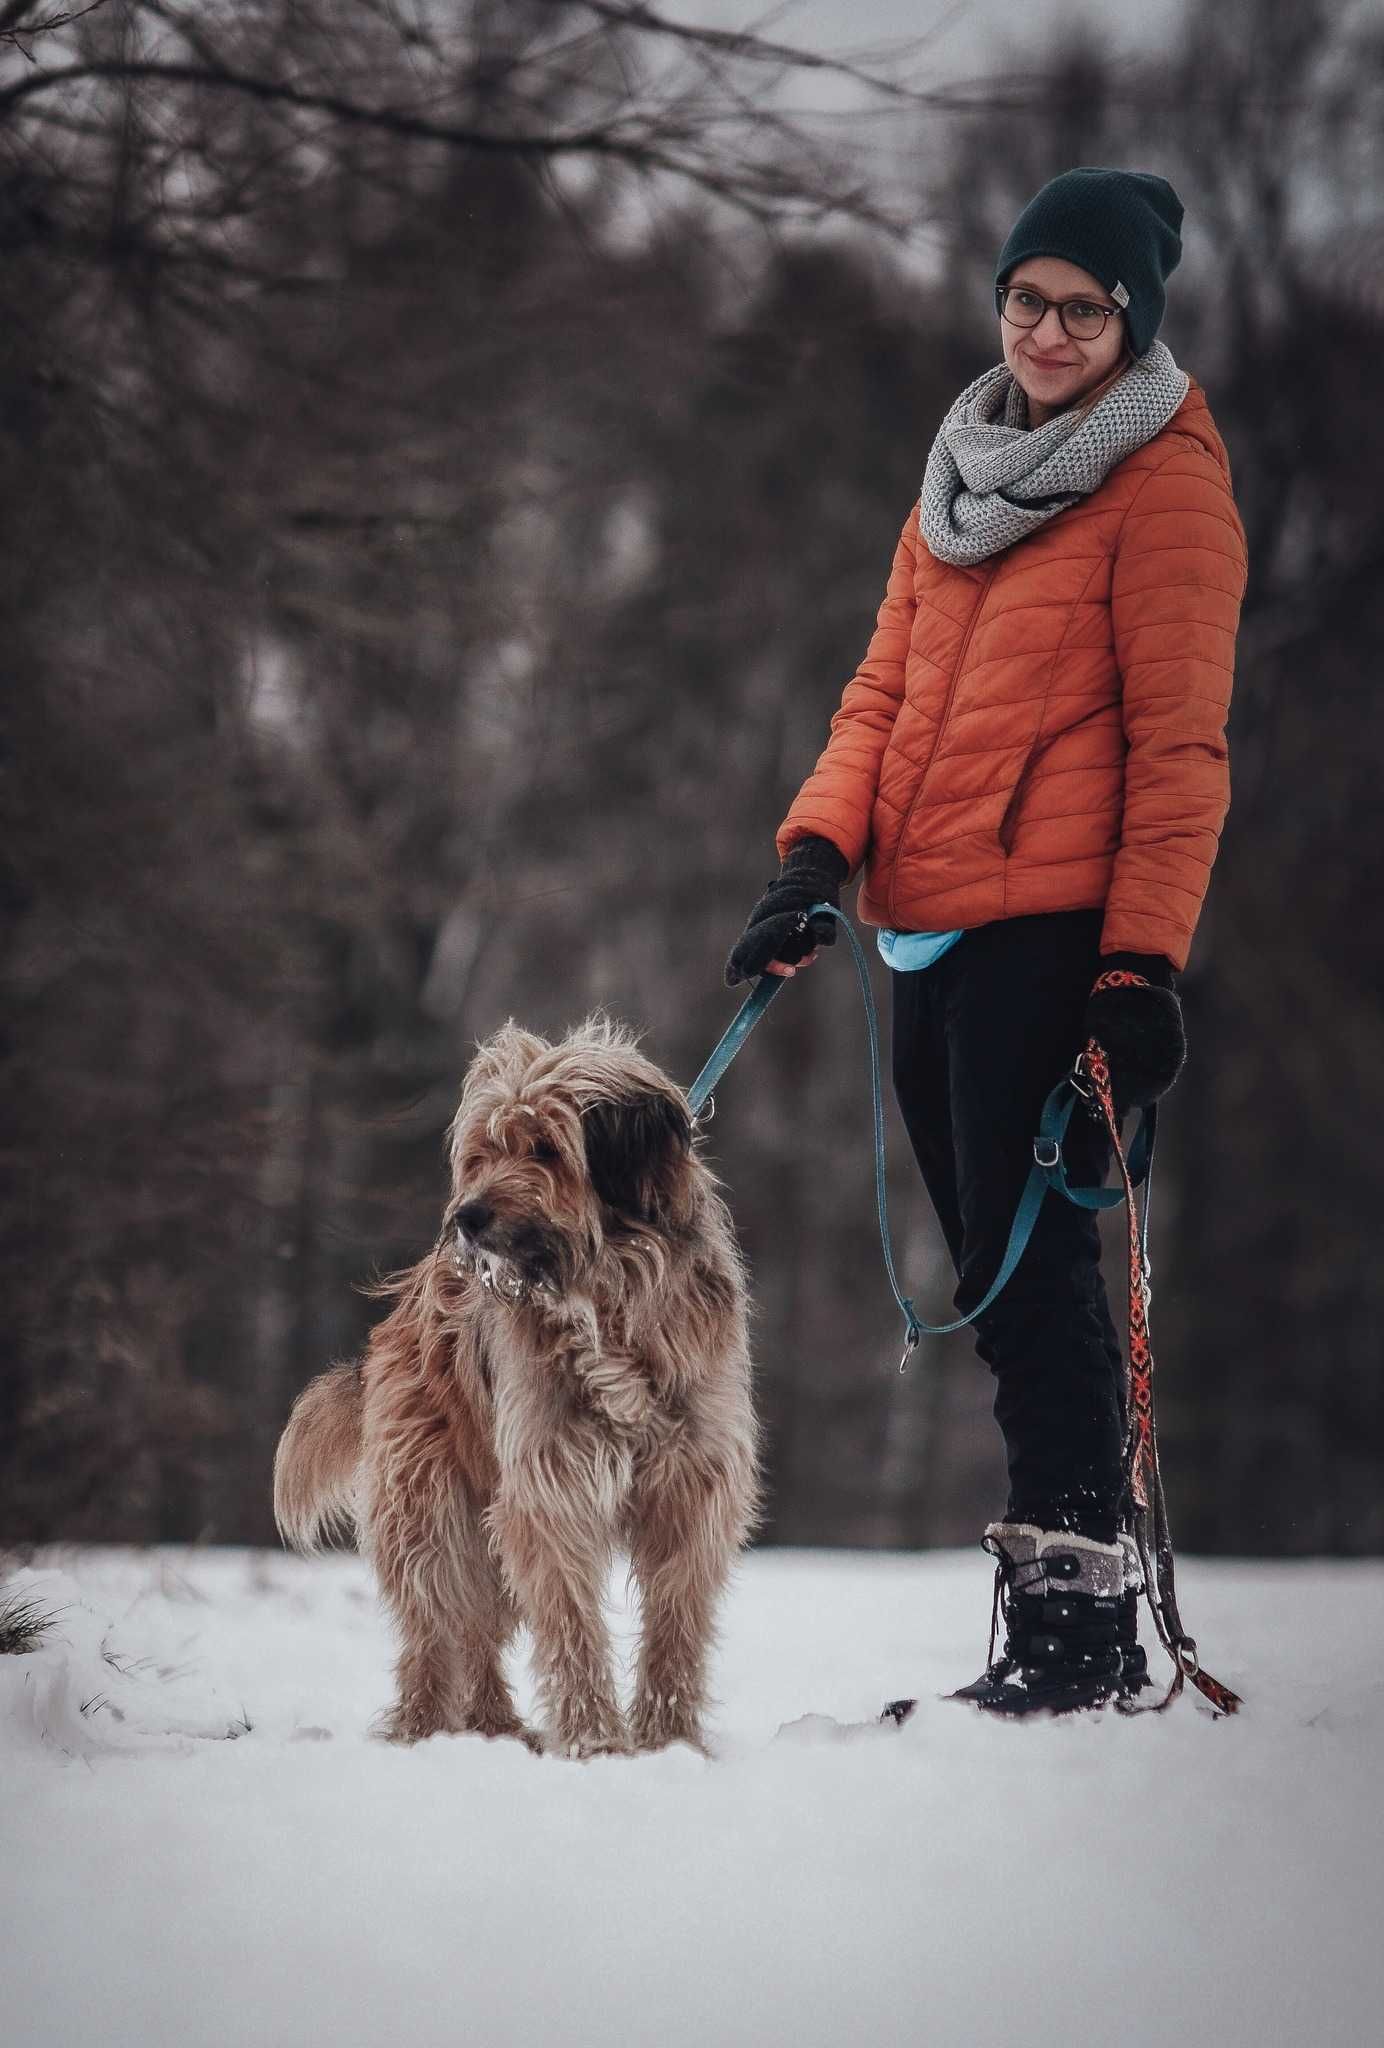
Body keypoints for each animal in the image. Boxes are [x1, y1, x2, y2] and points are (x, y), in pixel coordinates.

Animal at [272, 1015, 761, 1753]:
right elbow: (571, 1624)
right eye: (483, 1153)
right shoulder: (549, 1482)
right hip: (429, 1504)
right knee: (438, 1625)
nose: (467, 1218)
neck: (607, 1297)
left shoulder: (690, 1484)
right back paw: (424, 1728)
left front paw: (668, 1740)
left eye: (546, 1150)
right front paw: (595, 1742)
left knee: (477, 1628)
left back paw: (491, 1726)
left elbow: (674, 1623)